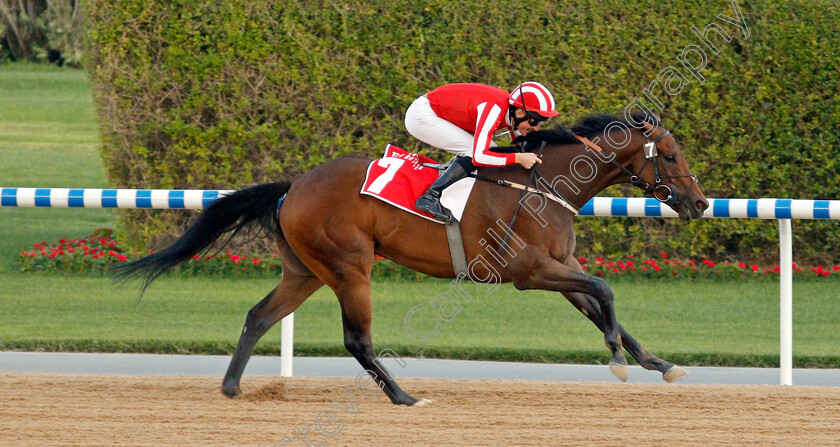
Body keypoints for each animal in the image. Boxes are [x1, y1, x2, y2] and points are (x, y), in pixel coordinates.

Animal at [113, 113, 708, 406]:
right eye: (670, 154)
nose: (701, 202)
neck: (544, 185)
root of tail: (293, 187)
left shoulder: (560, 271)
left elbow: (605, 304)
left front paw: (658, 363)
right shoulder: (527, 272)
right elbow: (607, 291)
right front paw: (618, 358)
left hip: (306, 271)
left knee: (259, 316)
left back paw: (233, 388)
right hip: (349, 266)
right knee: (357, 339)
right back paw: (403, 397)